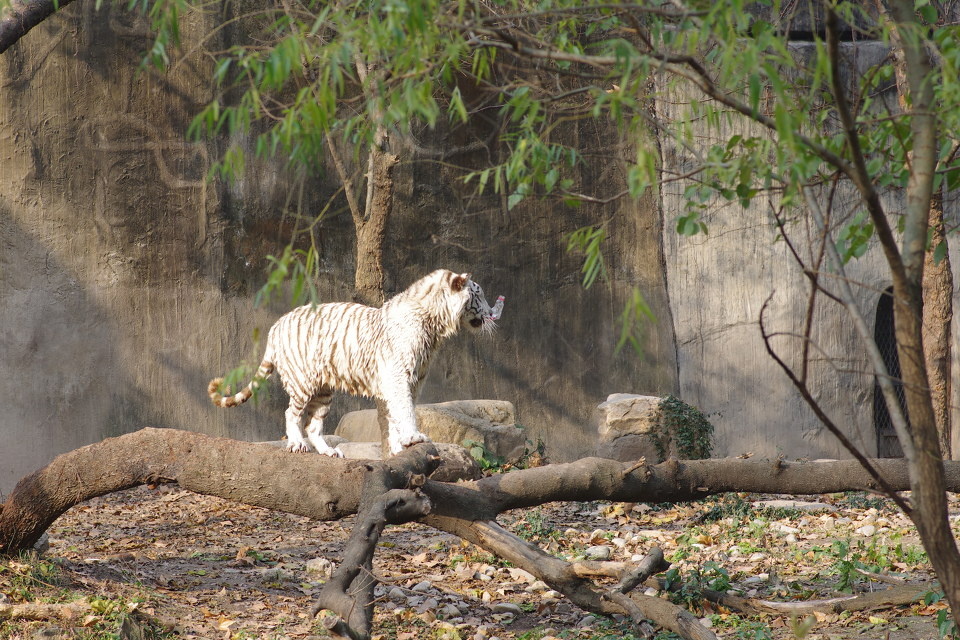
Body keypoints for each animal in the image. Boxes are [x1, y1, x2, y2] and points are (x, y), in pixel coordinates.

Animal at [208, 269, 505, 456]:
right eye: (478, 295)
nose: (492, 312)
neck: (435, 326)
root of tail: (276, 325)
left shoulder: (412, 380)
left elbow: (395, 416)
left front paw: (398, 447)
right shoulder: (399, 377)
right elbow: (405, 411)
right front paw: (413, 438)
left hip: (324, 390)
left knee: (313, 426)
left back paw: (329, 451)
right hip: (302, 382)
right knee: (292, 414)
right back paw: (296, 445)